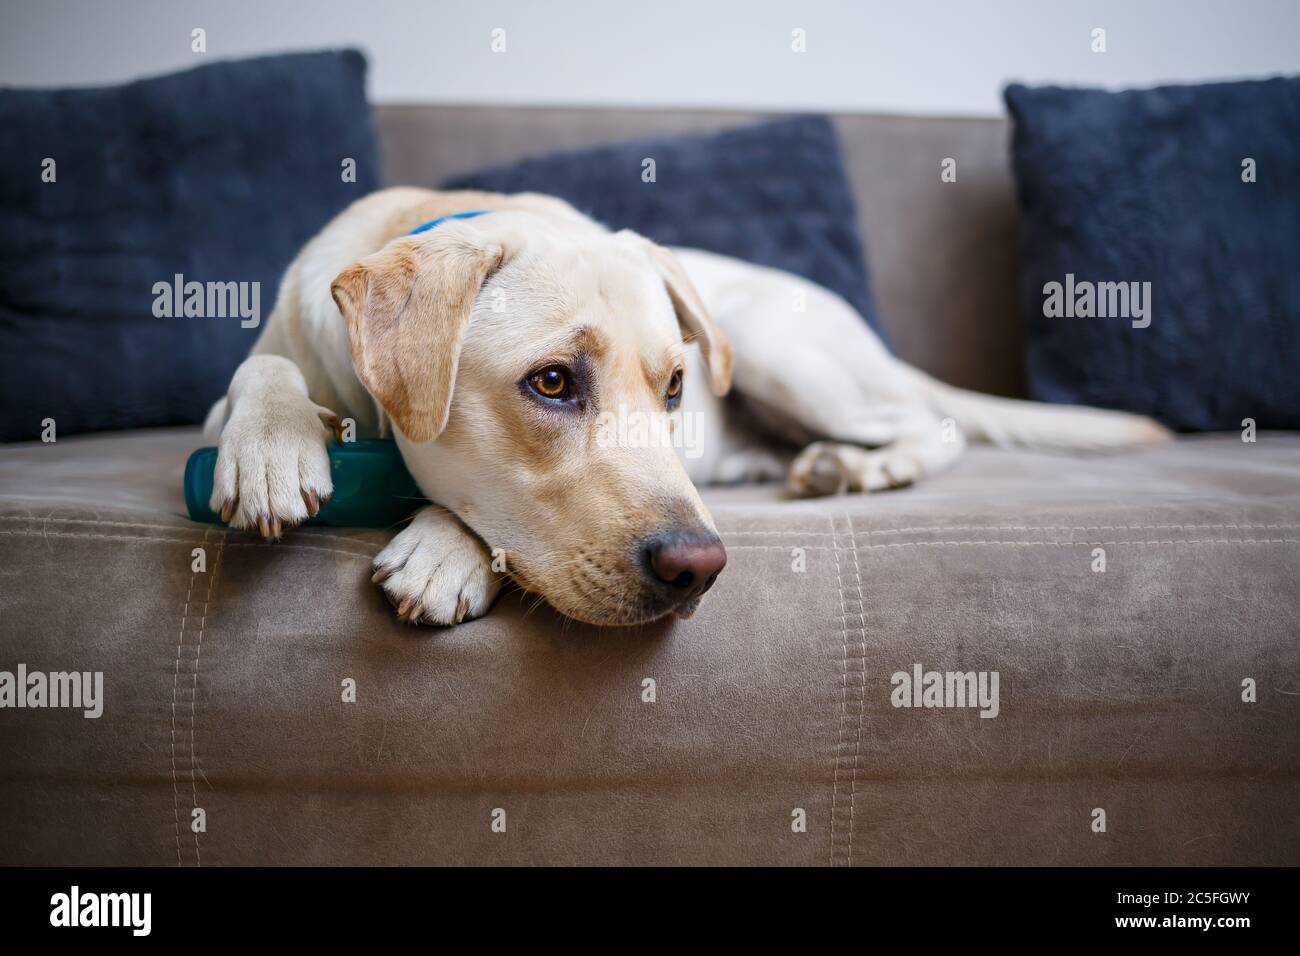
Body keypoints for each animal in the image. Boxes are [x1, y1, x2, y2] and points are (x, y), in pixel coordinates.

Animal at [202, 191, 1170, 632]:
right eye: (551, 383)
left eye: (673, 386)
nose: (699, 568)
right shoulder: (242, 381)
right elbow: (259, 373)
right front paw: (271, 443)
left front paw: (446, 548)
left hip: (774, 344)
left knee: (938, 427)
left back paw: (861, 464)